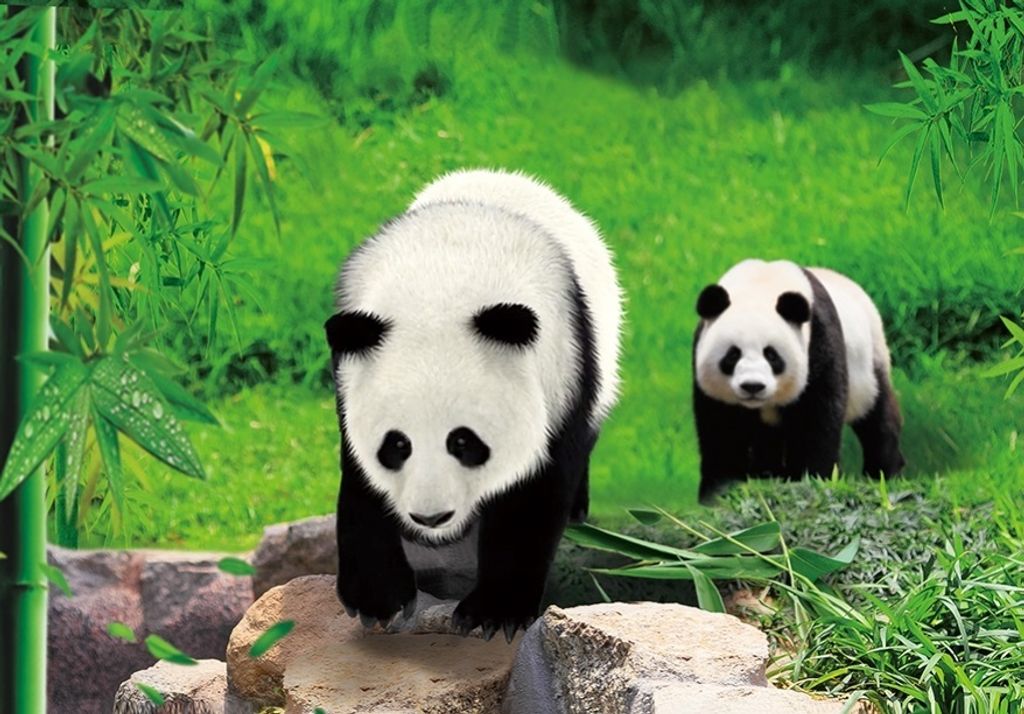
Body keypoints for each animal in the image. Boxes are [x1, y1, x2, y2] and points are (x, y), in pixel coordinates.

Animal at [324, 169, 622, 642]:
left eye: (464, 442)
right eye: (396, 445)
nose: (431, 518)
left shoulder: (561, 368)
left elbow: (534, 492)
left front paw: (493, 613)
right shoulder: (351, 372)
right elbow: (359, 478)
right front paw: (378, 599)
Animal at [693, 259, 904, 501]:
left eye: (771, 355)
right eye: (732, 355)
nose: (753, 386)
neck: (761, 285)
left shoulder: (819, 343)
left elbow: (816, 418)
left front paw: (811, 480)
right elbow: (721, 429)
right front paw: (721, 490)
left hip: (869, 365)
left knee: (878, 418)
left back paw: (883, 472)